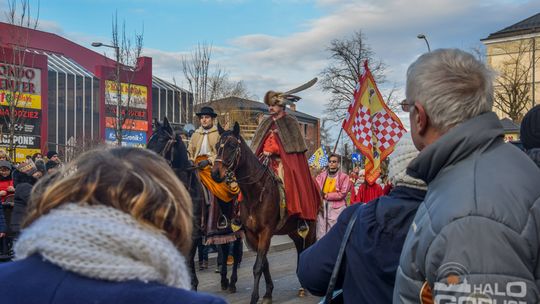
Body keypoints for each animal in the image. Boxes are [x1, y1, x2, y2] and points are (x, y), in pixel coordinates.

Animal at [211, 121, 318, 304]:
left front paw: (255, 297)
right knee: (299, 247)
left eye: (232, 146)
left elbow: (257, 266)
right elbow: (264, 264)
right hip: (292, 230)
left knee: (307, 248)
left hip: (310, 227)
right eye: (218, 146)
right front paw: (268, 293)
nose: (215, 174)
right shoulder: (252, 234)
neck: (255, 191)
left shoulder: (266, 231)